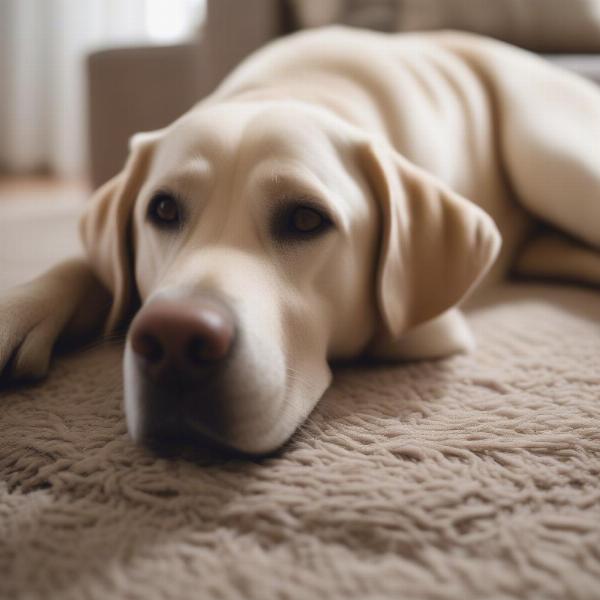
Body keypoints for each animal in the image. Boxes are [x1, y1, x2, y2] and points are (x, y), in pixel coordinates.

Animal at [1, 25, 600, 452]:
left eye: (307, 220)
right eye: (163, 209)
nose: (174, 338)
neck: (295, 86)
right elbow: (82, 267)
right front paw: (20, 311)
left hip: (551, 158)